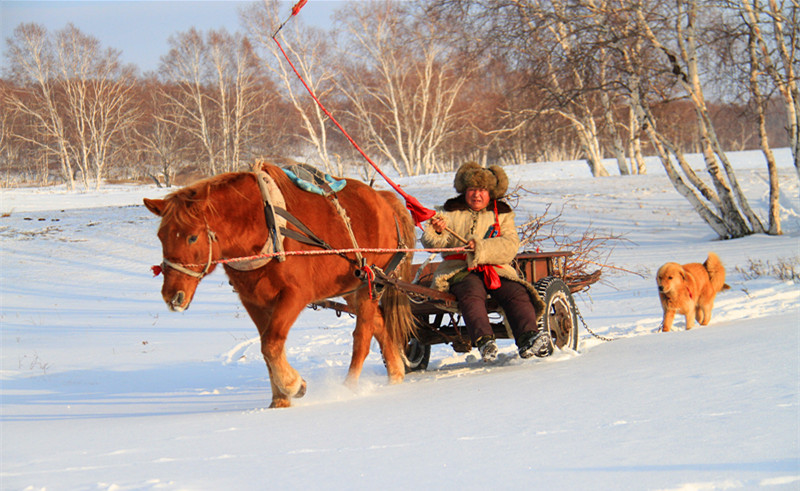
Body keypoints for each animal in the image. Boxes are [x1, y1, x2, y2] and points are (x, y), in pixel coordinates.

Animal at [144, 160, 416, 408]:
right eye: (161, 236)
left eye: (192, 237)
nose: (173, 296)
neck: (265, 227)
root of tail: (384, 200)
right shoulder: (253, 301)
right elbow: (266, 348)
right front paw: (280, 400)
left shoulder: (294, 295)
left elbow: (272, 343)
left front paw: (293, 385)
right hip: (356, 285)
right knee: (379, 323)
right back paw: (395, 375)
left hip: (370, 283)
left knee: (362, 335)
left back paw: (348, 387)